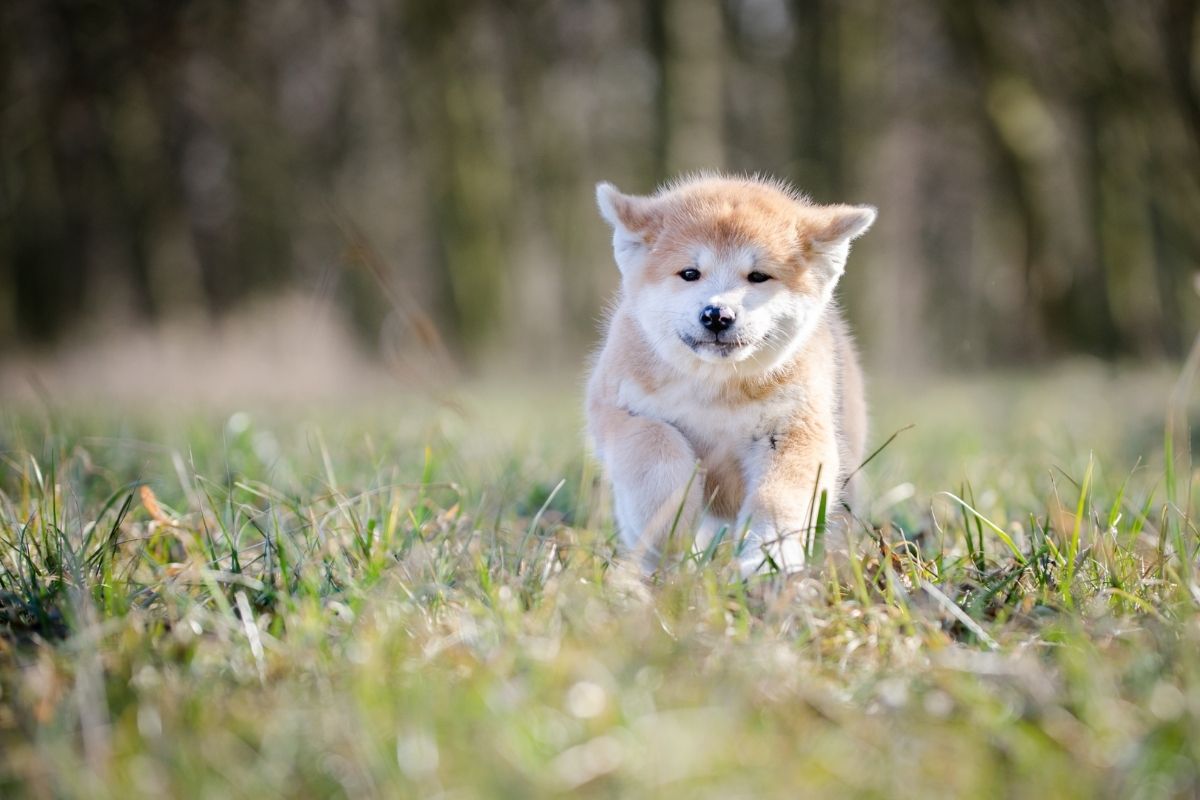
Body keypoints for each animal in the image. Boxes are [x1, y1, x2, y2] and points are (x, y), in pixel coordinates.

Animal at [588, 175, 878, 575]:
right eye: (690, 273)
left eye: (758, 276)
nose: (717, 315)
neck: (719, 389)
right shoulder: (621, 409)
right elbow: (657, 452)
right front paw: (670, 530)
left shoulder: (795, 429)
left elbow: (778, 499)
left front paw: (768, 559)